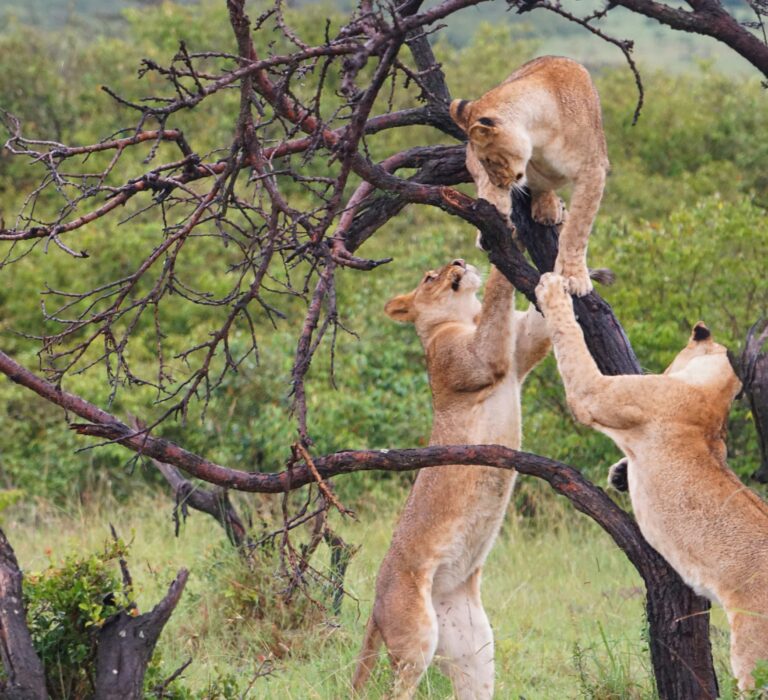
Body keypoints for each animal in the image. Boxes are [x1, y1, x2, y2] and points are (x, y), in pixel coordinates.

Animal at [351, 260, 550, 699]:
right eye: (430, 277)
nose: (458, 263)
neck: (463, 317)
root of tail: (375, 601)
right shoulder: (476, 359)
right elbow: (496, 300)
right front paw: (497, 250)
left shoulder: (522, 349)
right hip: (416, 634)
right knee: (398, 688)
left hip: (474, 649)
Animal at [450, 55, 609, 297]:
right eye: (483, 161)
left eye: (490, 160)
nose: (500, 183)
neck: (540, 133)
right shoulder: (470, 152)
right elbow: (484, 183)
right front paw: (497, 204)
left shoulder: (593, 169)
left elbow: (577, 229)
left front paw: (573, 275)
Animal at [535, 272, 768, 690]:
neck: (714, 398)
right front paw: (619, 473)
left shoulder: (596, 393)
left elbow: (571, 342)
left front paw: (551, 289)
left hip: (753, 655)